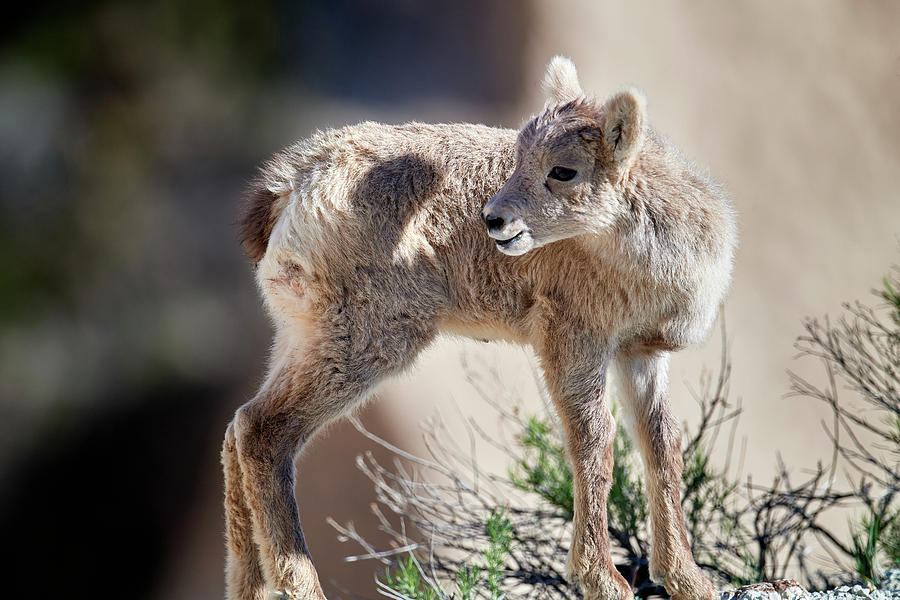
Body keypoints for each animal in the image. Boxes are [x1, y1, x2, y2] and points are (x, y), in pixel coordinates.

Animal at [225, 57, 740, 600]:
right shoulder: (574, 341)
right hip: (363, 342)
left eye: (563, 171)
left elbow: (662, 442)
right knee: (262, 431)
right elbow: (594, 440)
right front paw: (603, 580)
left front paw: (687, 578)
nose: (494, 220)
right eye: (518, 158)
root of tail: (292, 184)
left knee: (237, 430)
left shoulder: (639, 353)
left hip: (304, 337)